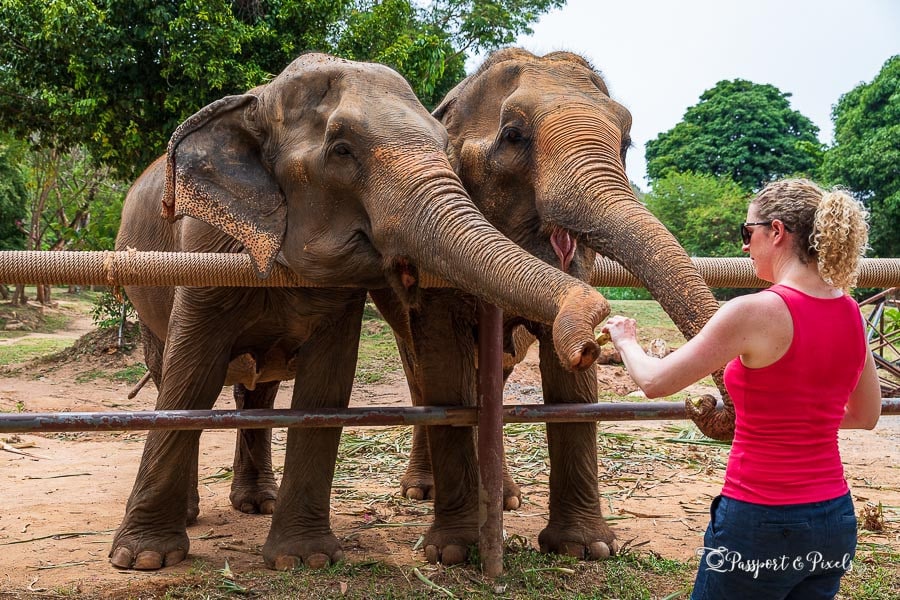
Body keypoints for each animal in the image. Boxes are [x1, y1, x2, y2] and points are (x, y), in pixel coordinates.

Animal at [109, 52, 608, 572]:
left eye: (446, 148)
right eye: (342, 150)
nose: (591, 343)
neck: (260, 100)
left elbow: (326, 387)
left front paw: (302, 561)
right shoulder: (203, 248)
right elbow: (191, 378)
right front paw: (142, 560)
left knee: (263, 391)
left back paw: (259, 503)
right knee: (171, 373)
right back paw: (200, 512)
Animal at [370, 45, 736, 564]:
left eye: (626, 142)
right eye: (513, 136)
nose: (701, 402)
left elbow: (571, 386)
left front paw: (586, 550)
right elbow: (442, 360)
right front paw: (453, 553)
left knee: (493, 376)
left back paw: (504, 497)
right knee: (420, 372)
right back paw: (422, 491)